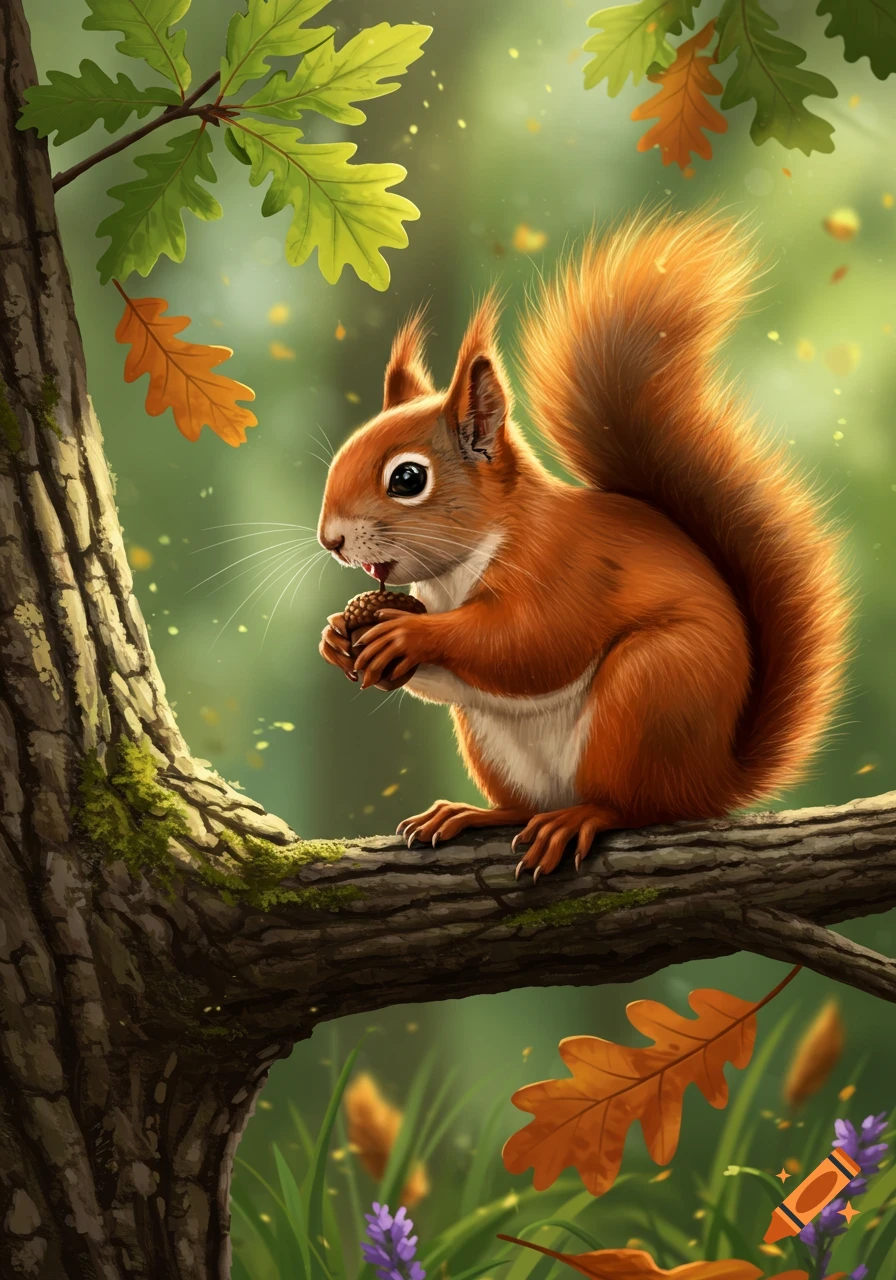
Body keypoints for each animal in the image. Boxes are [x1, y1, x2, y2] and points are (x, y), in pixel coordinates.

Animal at [317, 210, 851, 880]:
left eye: (407, 479)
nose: (330, 538)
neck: (463, 566)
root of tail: (712, 781)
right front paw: (339, 634)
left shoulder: (566, 568)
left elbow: (529, 643)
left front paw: (406, 634)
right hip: (493, 742)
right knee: (524, 803)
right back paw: (474, 813)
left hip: (649, 689)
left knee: (634, 806)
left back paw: (580, 818)